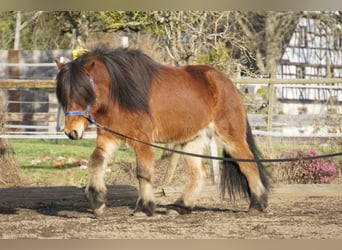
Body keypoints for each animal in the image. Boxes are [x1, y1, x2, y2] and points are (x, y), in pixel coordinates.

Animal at [55, 45, 270, 217]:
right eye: (64, 96)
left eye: (83, 93)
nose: (71, 132)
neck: (121, 93)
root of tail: (224, 81)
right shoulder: (109, 138)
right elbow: (95, 163)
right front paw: (97, 202)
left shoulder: (142, 140)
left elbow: (143, 173)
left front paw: (144, 208)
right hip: (192, 141)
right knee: (199, 174)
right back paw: (181, 206)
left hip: (231, 136)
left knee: (248, 164)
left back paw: (257, 204)